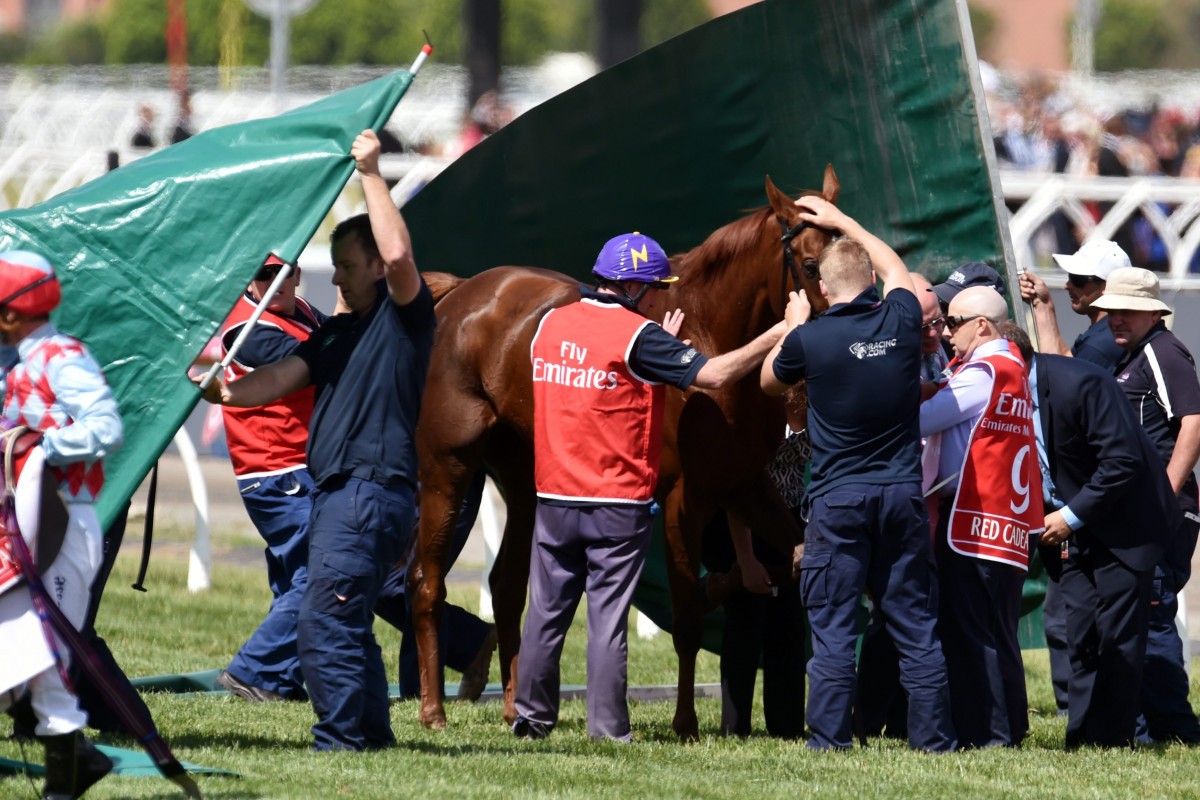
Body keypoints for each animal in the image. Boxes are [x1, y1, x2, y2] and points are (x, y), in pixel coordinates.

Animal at [408, 165, 840, 743]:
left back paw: (514, 706)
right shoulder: (684, 497)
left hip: (524, 478)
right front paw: (685, 722)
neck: (710, 335)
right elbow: (687, 615)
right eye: (812, 265)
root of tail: (461, 294)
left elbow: (790, 558)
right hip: (447, 466)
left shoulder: (744, 481)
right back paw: (433, 709)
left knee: (508, 584)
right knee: (426, 580)